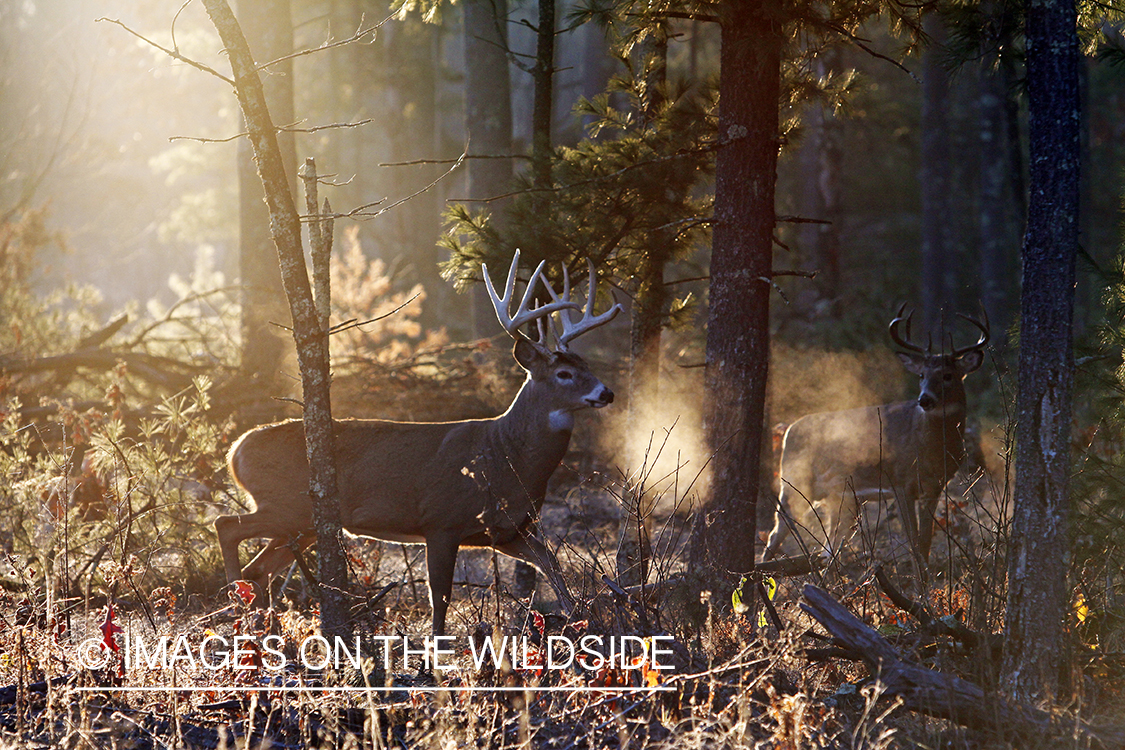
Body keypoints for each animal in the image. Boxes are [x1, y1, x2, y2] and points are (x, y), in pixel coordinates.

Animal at [214, 250, 621, 634]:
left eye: (586, 365)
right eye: (564, 373)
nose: (607, 392)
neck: (504, 455)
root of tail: (236, 452)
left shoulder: (508, 531)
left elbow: (552, 565)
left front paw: (583, 621)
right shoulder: (441, 520)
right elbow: (439, 595)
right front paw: (437, 651)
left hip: (303, 524)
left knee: (257, 568)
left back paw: (258, 622)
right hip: (286, 505)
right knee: (226, 525)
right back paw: (236, 608)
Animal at [760, 308, 990, 566]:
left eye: (948, 375)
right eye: (922, 374)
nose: (925, 399)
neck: (930, 445)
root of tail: (790, 429)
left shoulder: (935, 487)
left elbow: (925, 543)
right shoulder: (900, 481)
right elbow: (914, 544)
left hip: (841, 496)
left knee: (828, 545)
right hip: (794, 483)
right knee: (776, 533)